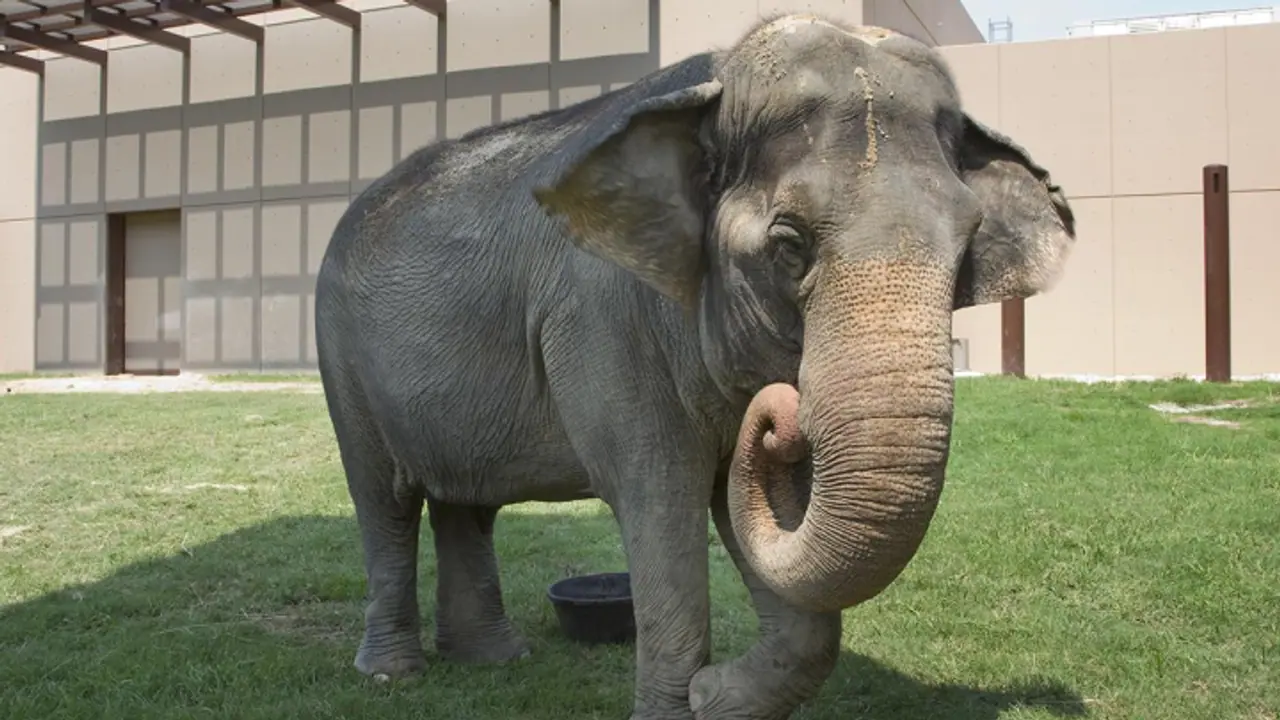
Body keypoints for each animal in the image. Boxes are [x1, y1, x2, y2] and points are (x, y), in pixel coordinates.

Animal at [314, 14, 1076, 720]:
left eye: (967, 248)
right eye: (789, 244)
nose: (782, 413)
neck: (711, 90)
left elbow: (765, 516)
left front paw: (715, 698)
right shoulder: (605, 321)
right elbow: (661, 498)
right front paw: (690, 699)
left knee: (465, 505)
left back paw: (496, 660)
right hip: (340, 353)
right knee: (385, 499)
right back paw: (392, 675)